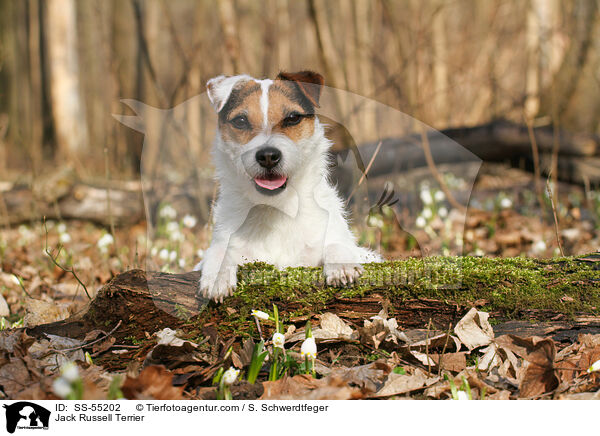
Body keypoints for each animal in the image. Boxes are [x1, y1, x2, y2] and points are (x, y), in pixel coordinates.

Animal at [196, 70, 380, 304]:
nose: (267, 156)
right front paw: (217, 274)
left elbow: (337, 243)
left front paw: (342, 264)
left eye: (292, 118)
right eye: (240, 121)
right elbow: (217, 251)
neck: (277, 207)